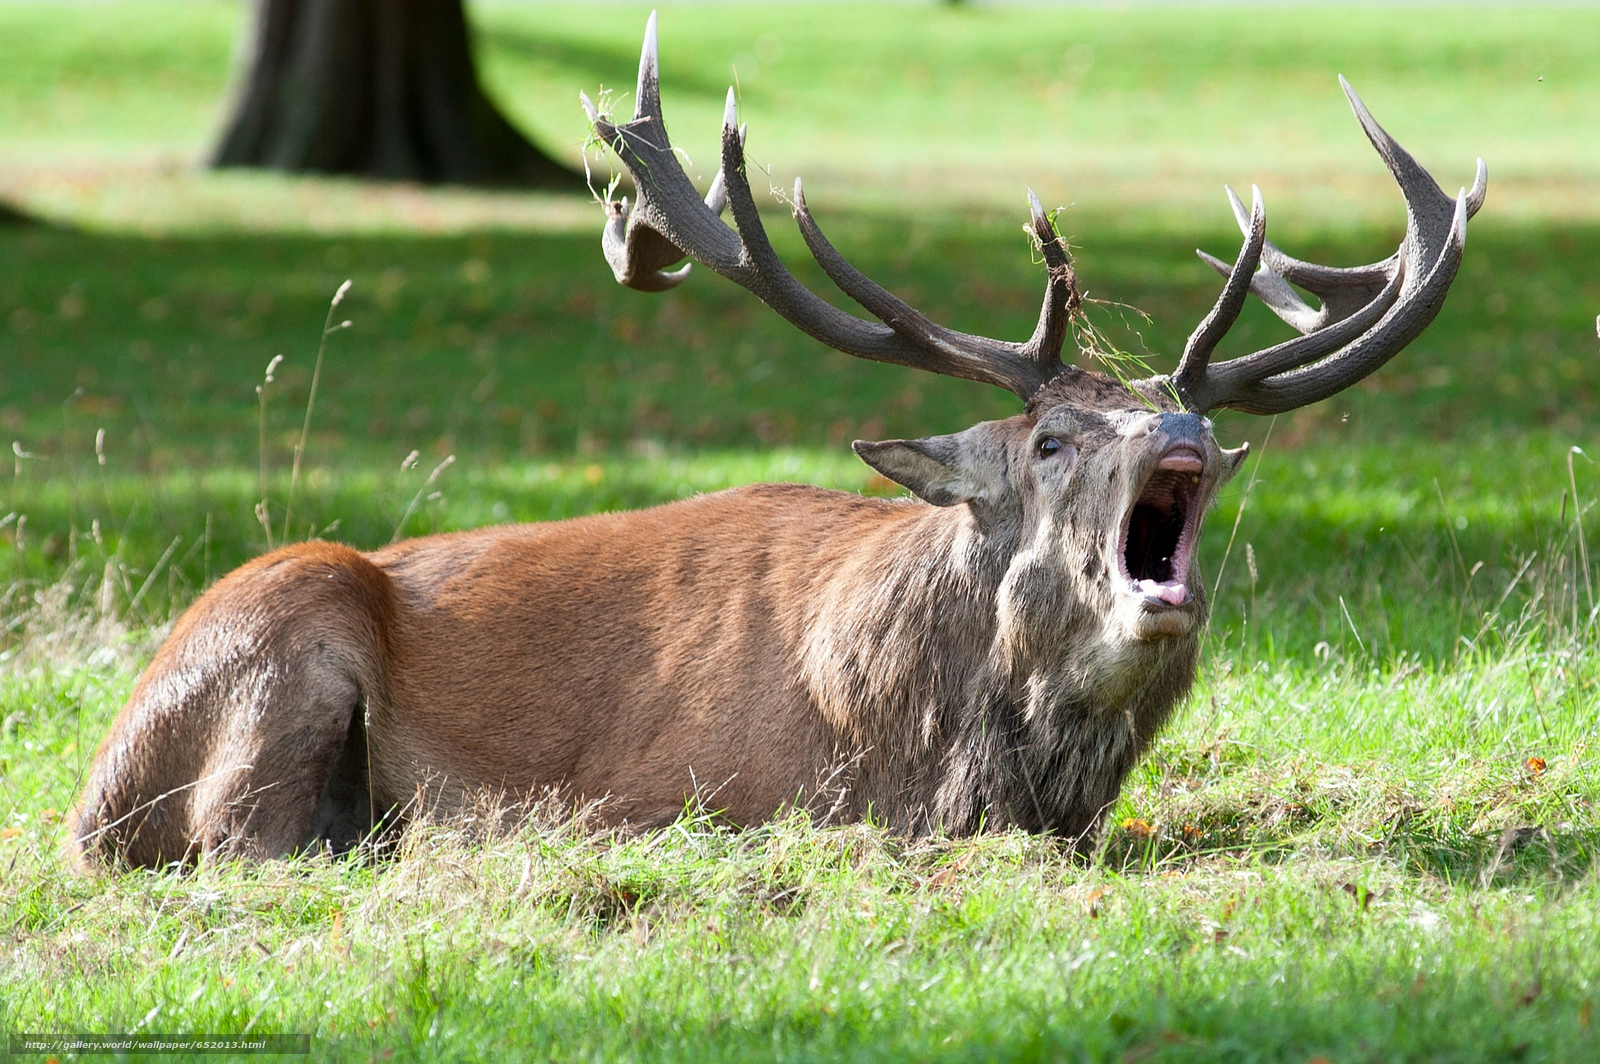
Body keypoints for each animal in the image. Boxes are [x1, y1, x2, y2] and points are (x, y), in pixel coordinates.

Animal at [72, 14, 1485, 869]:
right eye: (1050, 439)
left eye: (1183, 423)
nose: (1183, 426)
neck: (933, 752)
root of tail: (89, 794)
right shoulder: (686, 790)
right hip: (278, 624)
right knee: (242, 836)